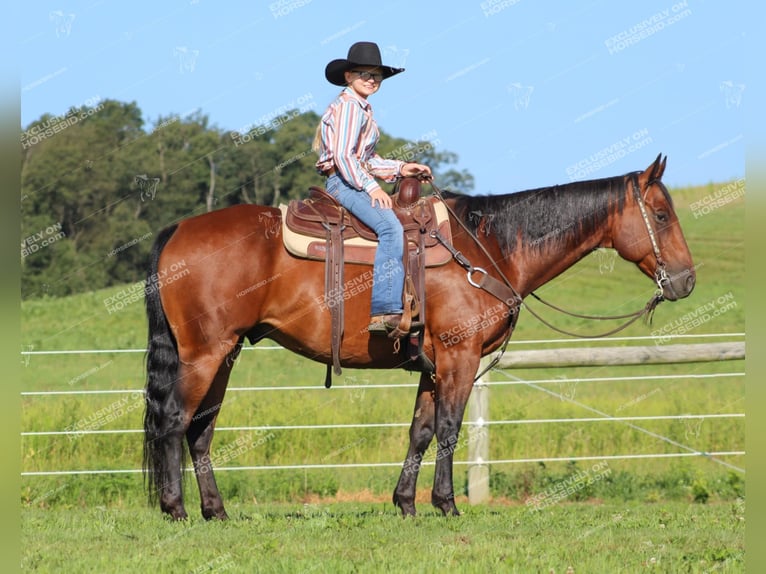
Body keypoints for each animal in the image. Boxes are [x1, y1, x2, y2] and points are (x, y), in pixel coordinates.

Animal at [142, 154, 696, 520]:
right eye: (661, 215)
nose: (686, 281)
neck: (489, 247)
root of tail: (177, 230)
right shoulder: (460, 356)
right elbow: (449, 429)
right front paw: (447, 505)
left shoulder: (433, 365)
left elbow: (421, 431)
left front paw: (406, 504)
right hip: (205, 354)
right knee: (174, 421)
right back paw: (176, 510)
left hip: (225, 353)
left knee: (201, 430)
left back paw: (216, 511)